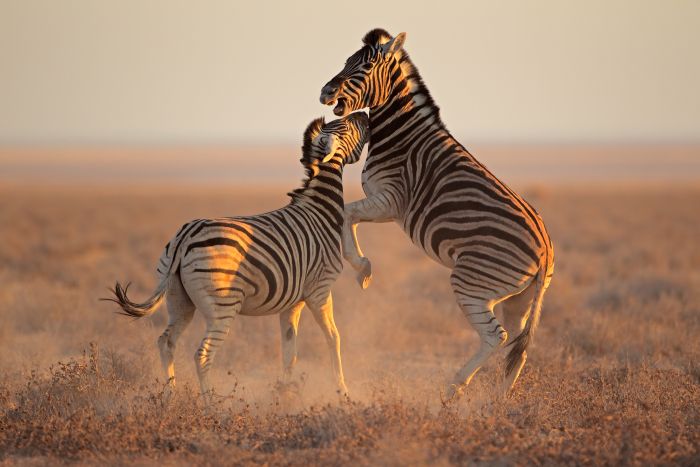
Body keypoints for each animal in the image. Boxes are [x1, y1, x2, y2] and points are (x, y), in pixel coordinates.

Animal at [104, 112, 369, 400]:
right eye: (346, 126)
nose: (365, 115)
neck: (319, 210)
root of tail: (184, 238)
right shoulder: (320, 290)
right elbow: (334, 337)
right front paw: (342, 390)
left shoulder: (292, 301)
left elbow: (289, 351)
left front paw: (285, 394)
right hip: (222, 306)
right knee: (202, 354)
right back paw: (211, 403)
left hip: (178, 299)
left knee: (167, 342)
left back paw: (170, 395)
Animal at [319, 29, 554, 400]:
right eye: (346, 61)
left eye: (365, 65)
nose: (326, 92)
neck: (402, 135)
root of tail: (545, 248)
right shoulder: (387, 205)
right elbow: (349, 215)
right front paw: (362, 268)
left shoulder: (392, 200)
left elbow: (346, 213)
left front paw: (362, 269)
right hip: (520, 298)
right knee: (517, 346)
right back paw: (498, 402)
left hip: (471, 281)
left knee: (495, 336)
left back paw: (454, 388)